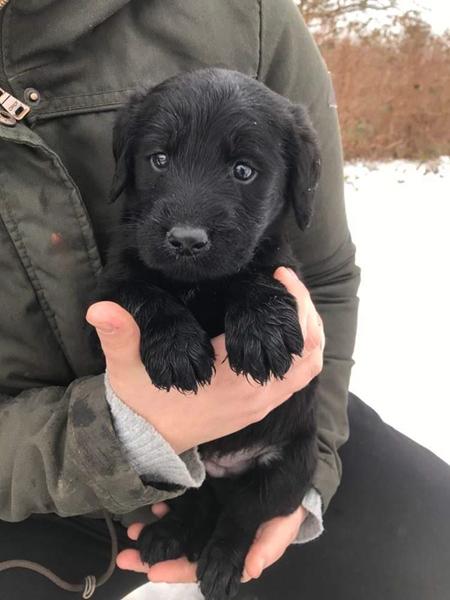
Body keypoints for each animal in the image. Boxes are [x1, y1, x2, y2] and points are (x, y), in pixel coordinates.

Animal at [100, 70, 322, 600]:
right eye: (159, 159)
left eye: (243, 171)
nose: (185, 240)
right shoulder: (117, 273)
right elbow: (143, 291)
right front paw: (177, 348)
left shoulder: (278, 259)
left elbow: (257, 271)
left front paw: (263, 331)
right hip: (184, 470)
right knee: (193, 502)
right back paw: (167, 534)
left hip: (289, 468)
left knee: (240, 517)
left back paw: (221, 562)